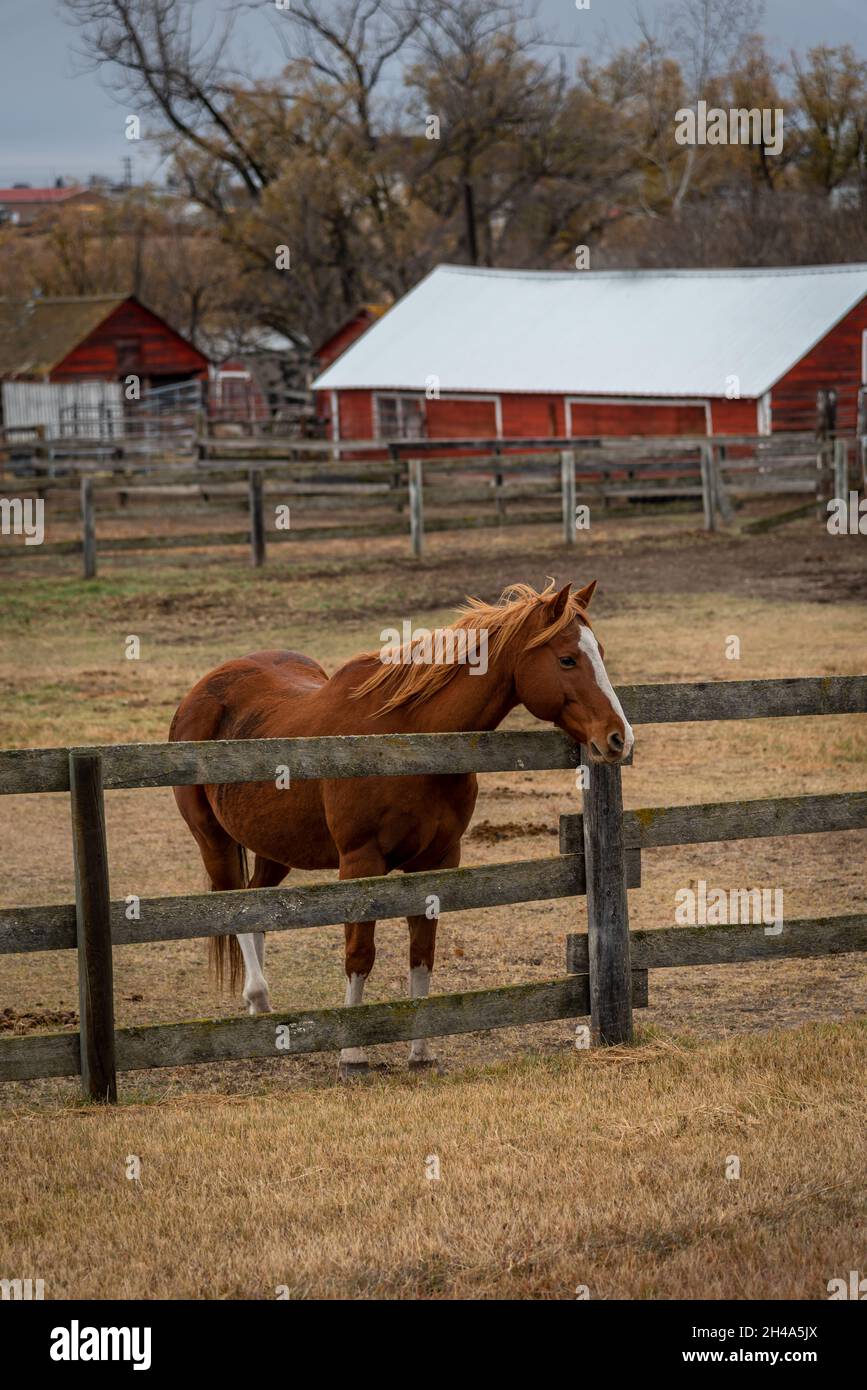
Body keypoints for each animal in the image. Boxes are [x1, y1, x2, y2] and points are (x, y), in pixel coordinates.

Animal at [170, 575, 630, 1073]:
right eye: (567, 658)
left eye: (601, 650)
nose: (619, 738)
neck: (411, 740)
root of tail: (204, 689)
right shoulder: (360, 863)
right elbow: (359, 954)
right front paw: (352, 1052)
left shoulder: (438, 861)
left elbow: (421, 954)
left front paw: (421, 1049)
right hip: (212, 839)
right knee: (233, 906)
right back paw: (257, 996)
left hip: (276, 846)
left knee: (257, 904)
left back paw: (262, 1009)